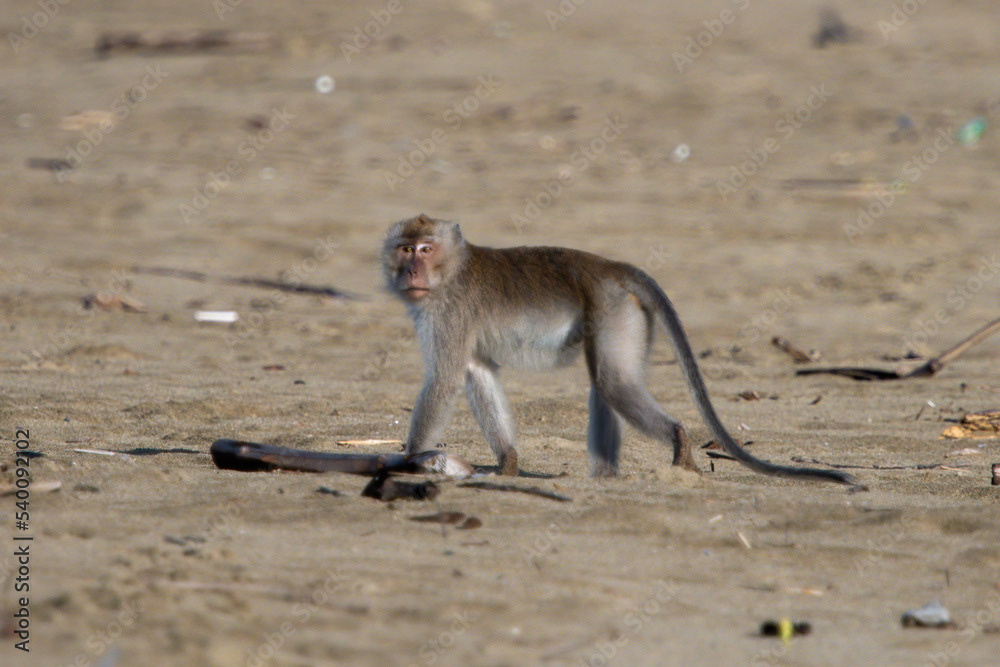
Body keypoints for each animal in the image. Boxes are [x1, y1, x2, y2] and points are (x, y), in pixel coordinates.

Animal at [382, 214, 857, 486]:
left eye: (425, 249)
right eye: (405, 249)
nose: (411, 271)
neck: (450, 271)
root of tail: (609, 268)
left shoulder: (448, 310)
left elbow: (445, 380)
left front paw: (408, 461)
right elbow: (476, 372)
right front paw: (509, 465)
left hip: (613, 309)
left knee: (611, 382)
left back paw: (679, 446)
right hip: (625, 312)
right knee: (605, 384)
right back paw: (607, 479)